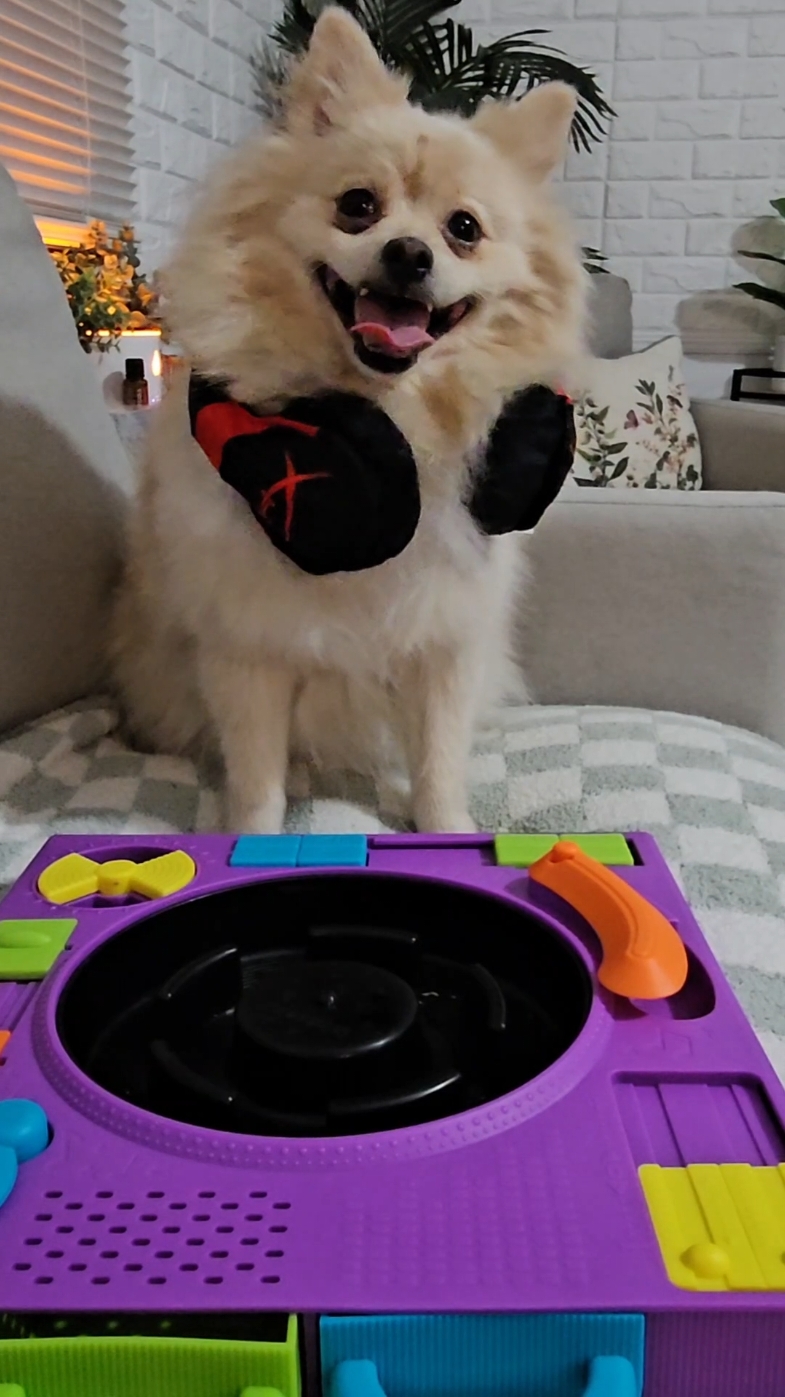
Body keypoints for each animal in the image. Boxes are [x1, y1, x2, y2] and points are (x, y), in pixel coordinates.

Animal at [113, 8, 583, 827]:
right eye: (357, 205)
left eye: (464, 228)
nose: (409, 252)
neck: (388, 428)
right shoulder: (248, 645)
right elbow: (257, 776)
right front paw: (254, 834)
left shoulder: (445, 641)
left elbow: (436, 761)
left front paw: (443, 825)